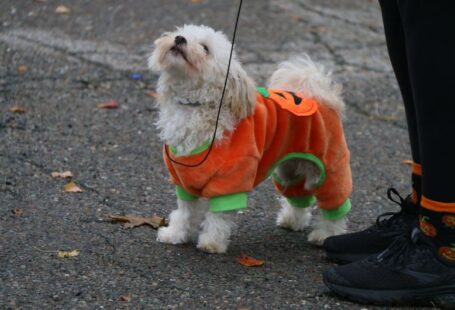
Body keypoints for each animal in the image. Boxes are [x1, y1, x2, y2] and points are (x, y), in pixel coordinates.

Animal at [150, 23, 352, 252]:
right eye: (180, 32)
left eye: (205, 48)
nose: (179, 39)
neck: (194, 108)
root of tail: (317, 95)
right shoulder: (183, 180)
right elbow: (184, 212)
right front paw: (175, 234)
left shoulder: (230, 180)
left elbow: (218, 218)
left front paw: (211, 243)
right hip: (290, 169)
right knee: (299, 196)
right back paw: (292, 221)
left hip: (329, 168)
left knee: (335, 206)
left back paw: (326, 235)